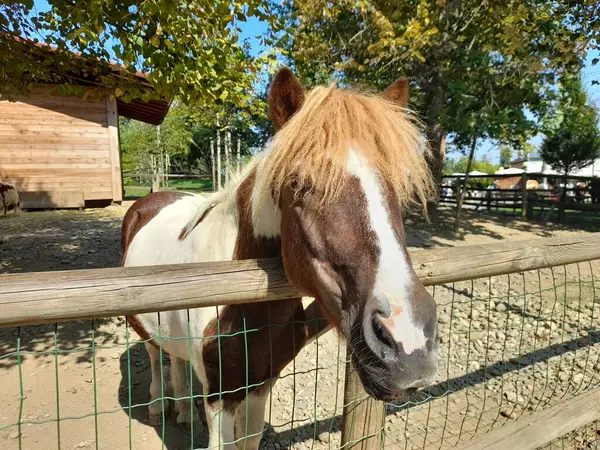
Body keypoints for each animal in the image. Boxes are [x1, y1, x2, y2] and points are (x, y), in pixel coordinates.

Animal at [123, 67, 440, 450]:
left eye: (400, 187)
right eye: (299, 183)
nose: (409, 341)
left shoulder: (261, 382)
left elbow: (250, 438)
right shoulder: (220, 396)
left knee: (176, 358)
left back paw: (183, 411)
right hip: (142, 327)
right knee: (156, 356)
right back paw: (158, 406)